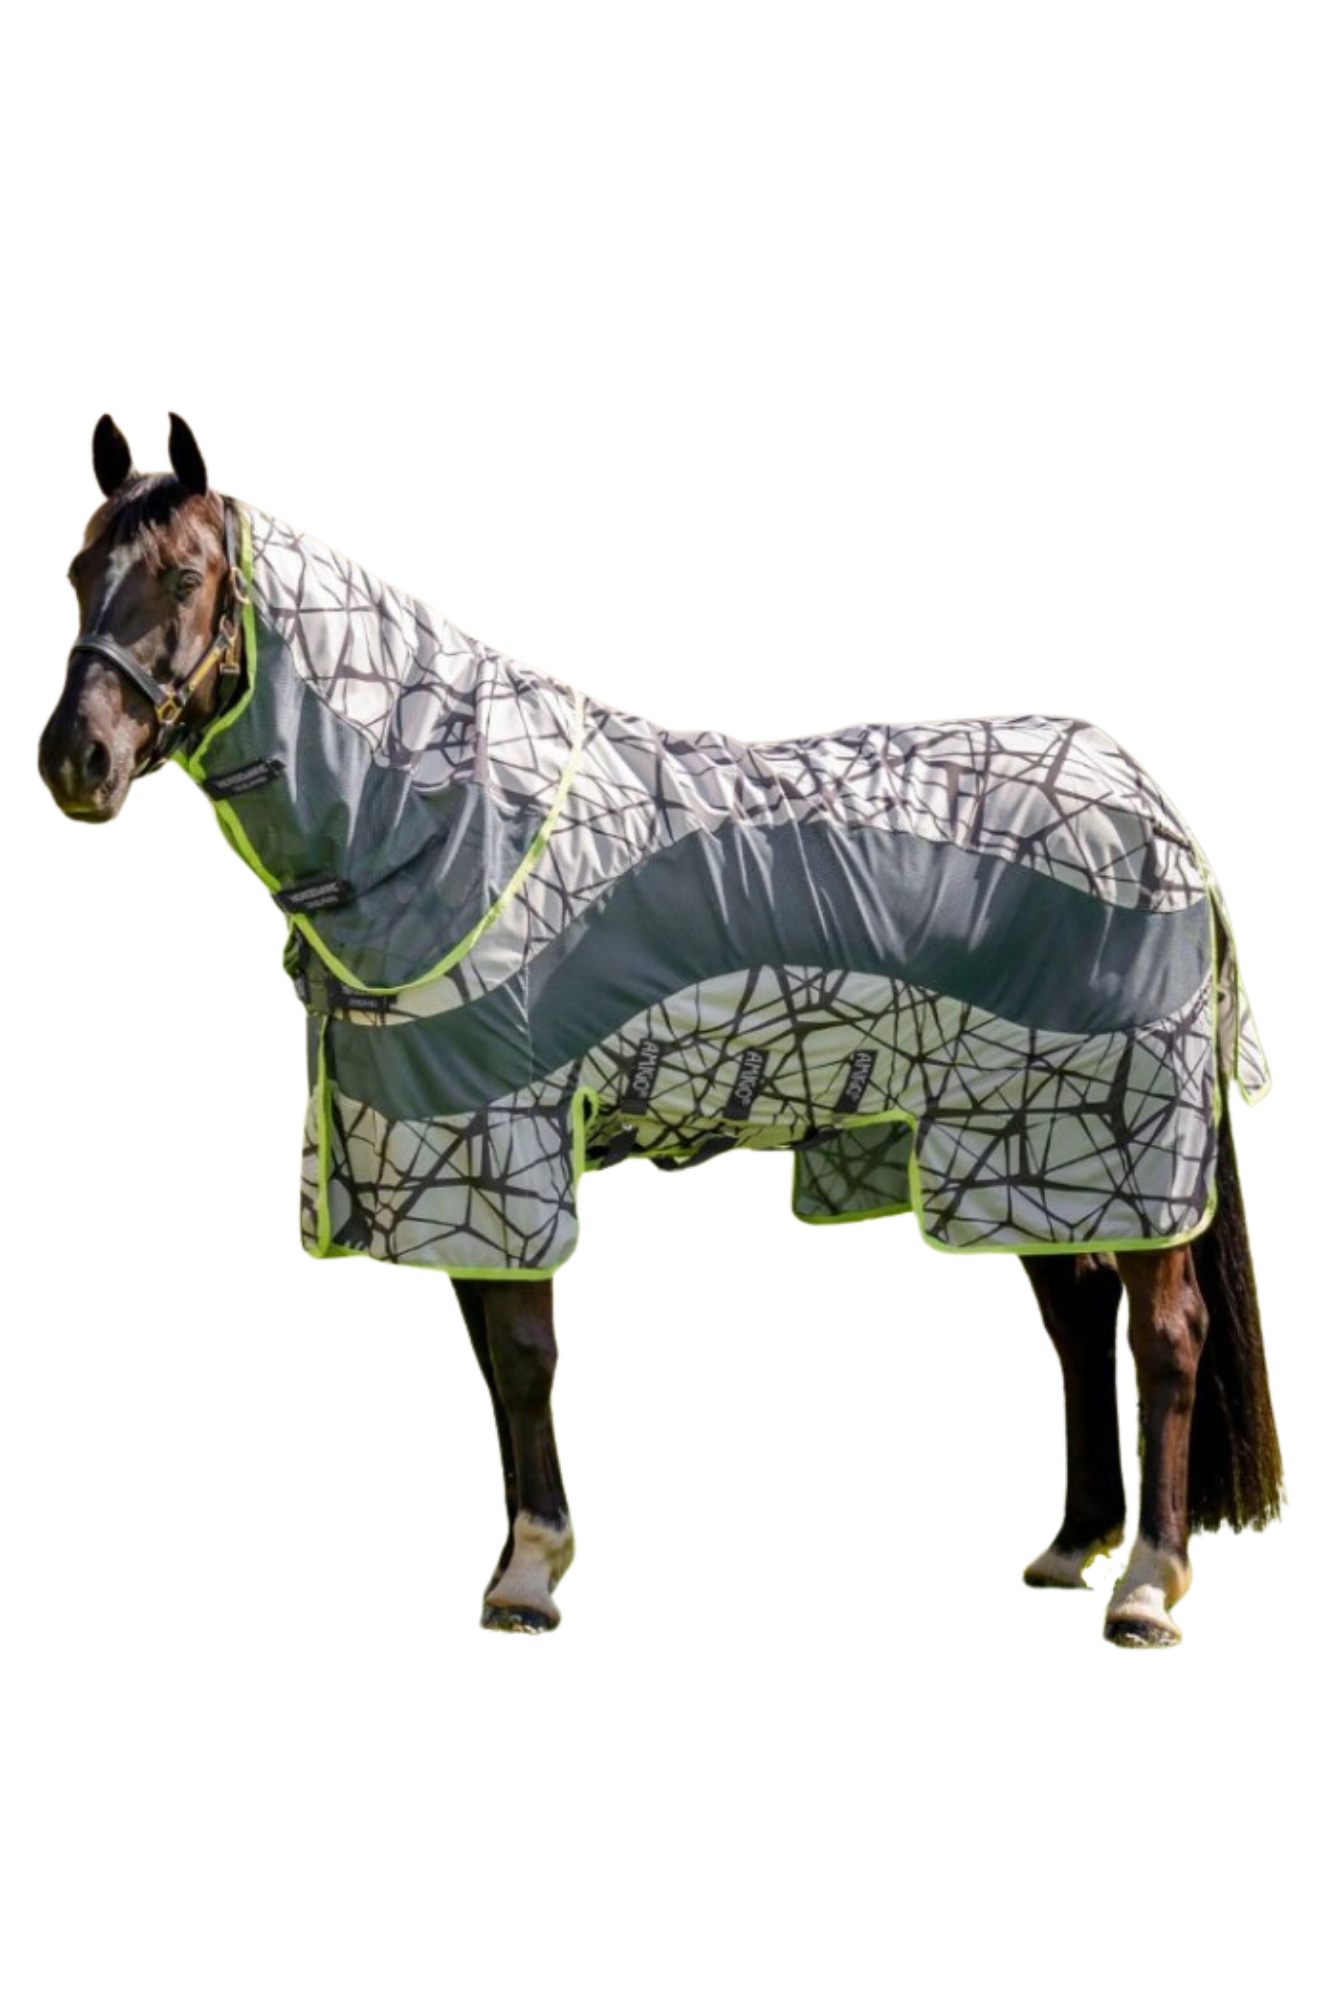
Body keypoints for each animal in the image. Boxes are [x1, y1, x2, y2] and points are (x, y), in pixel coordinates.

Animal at [36, 411, 1287, 1645]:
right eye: (77, 570)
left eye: (183, 575)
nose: (75, 761)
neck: (450, 822)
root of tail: (1148, 800)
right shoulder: (444, 1156)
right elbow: (492, 1361)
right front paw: (527, 1555)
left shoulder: (511, 1141)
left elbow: (527, 1358)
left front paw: (528, 1577)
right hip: (1019, 1142)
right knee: (1077, 1321)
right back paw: (1071, 1548)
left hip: (1116, 1140)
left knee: (1166, 1336)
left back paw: (1145, 1586)